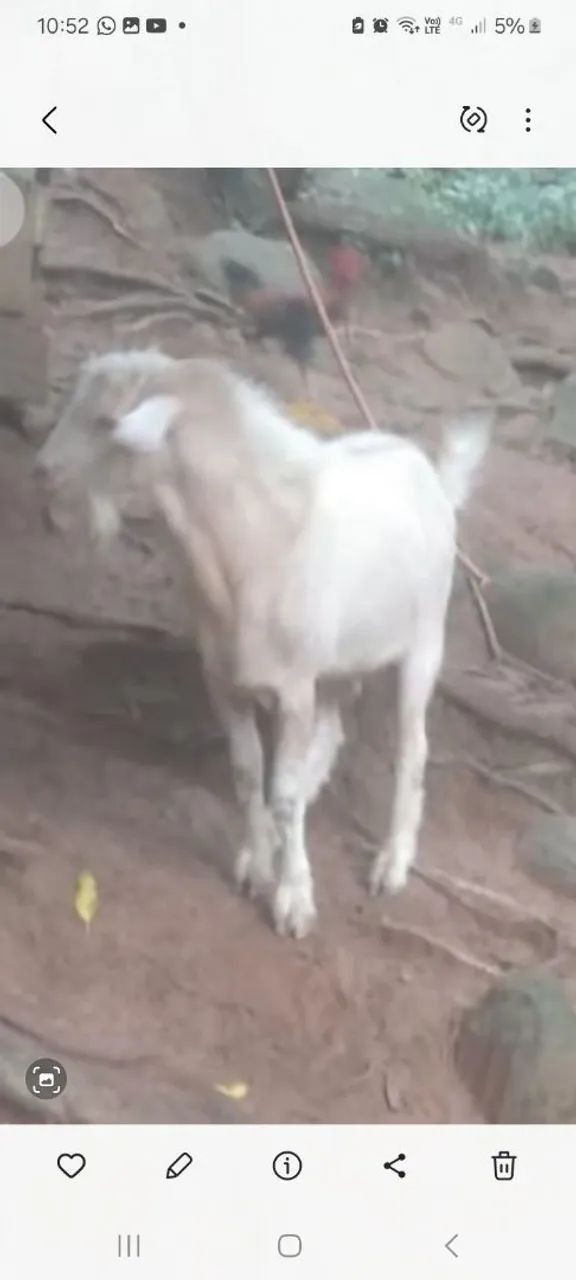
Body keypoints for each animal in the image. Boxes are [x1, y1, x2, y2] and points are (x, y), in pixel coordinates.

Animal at [37, 350, 491, 939]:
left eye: (106, 422)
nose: (42, 469)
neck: (251, 547)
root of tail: (430, 471)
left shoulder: (293, 689)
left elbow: (285, 793)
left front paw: (294, 898)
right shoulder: (224, 680)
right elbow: (250, 774)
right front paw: (257, 862)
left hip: (423, 643)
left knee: (412, 748)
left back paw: (391, 863)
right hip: (337, 660)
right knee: (332, 731)